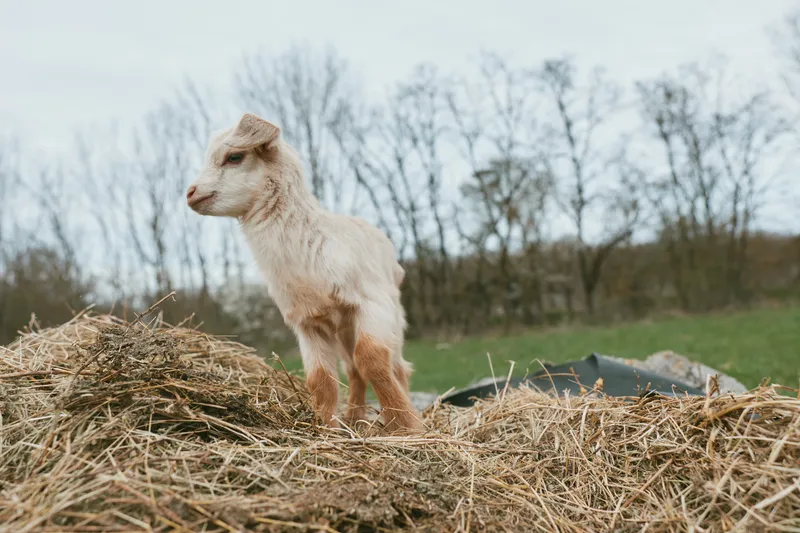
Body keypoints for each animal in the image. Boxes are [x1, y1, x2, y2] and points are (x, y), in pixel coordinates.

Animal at [186, 113, 422, 434]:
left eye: (234, 156)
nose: (190, 194)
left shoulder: (372, 303)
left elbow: (372, 359)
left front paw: (406, 425)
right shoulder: (309, 321)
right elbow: (321, 380)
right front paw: (325, 428)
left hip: (392, 316)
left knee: (396, 366)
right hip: (344, 327)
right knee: (353, 369)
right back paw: (355, 417)